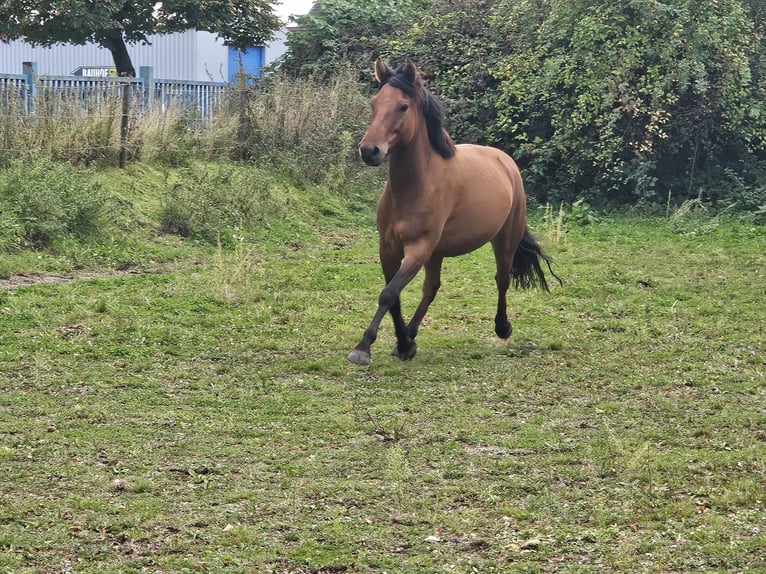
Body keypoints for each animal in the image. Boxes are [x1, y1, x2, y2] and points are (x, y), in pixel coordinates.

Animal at [348, 60, 560, 366]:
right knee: (431, 288)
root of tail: (504, 160)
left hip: (503, 240)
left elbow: (388, 294)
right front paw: (402, 343)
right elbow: (394, 296)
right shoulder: (388, 248)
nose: (369, 150)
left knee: (502, 279)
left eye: (403, 106)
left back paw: (502, 326)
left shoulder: (419, 247)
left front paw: (363, 347)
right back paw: (410, 338)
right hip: (436, 253)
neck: (416, 185)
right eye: (374, 103)